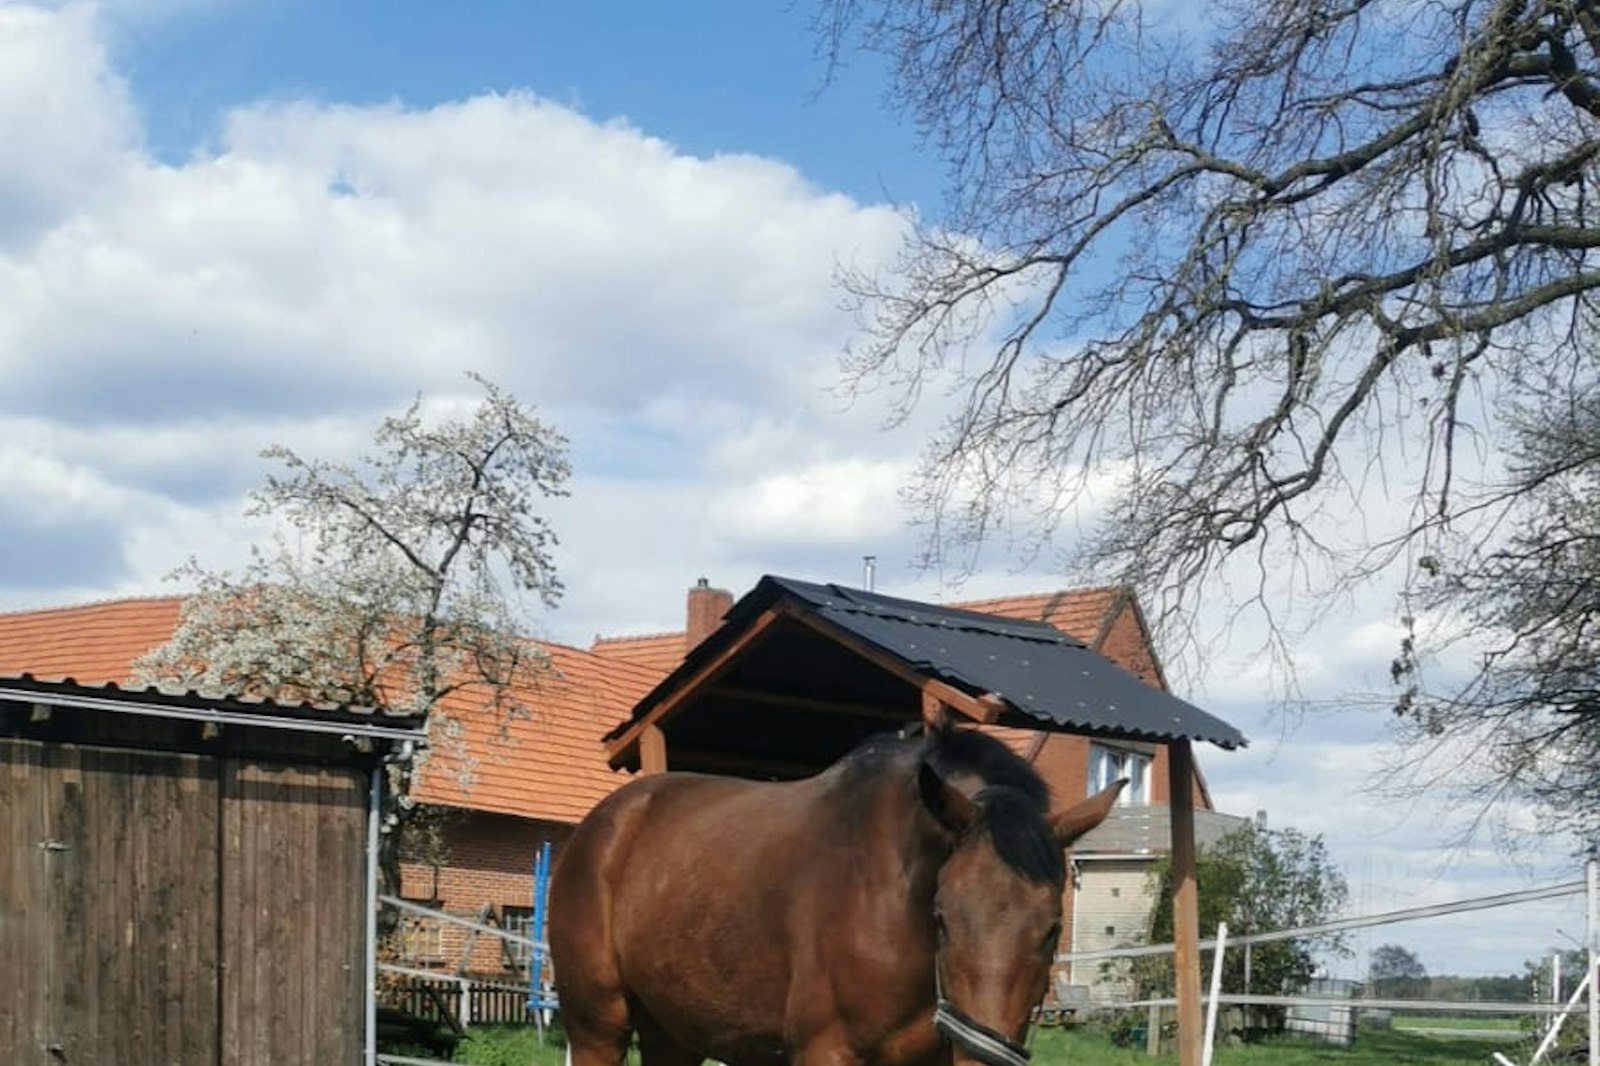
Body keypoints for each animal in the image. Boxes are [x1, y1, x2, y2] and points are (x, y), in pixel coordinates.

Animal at [549, 724, 1125, 1066]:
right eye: (941, 917)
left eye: (1052, 929)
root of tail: (604, 823)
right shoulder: (826, 1050)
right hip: (598, 1027)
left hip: (673, 1031)